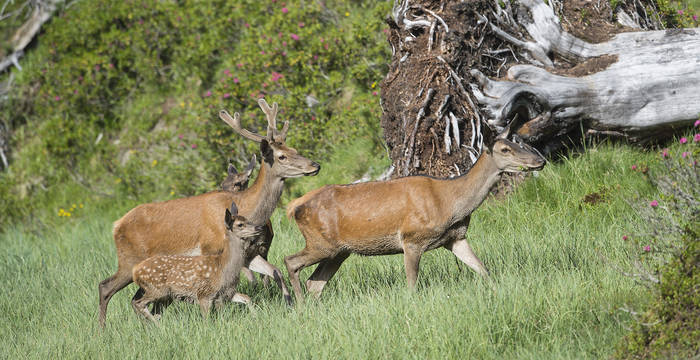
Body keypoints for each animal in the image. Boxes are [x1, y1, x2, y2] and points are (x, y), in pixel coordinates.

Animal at [97, 99, 318, 326]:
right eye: (282, 156)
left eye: (294, 149)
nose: (315, 165)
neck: (247, 207)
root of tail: (116, 225)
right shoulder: (211, 251)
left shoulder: (249, 253)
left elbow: (276, 271)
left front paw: (290, 304)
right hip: (129, 260)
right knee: (105, 287)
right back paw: (102, 329)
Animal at [282, 129, 544, 300]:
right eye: (505, 149)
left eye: (517, 143)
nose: (539, 160)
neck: (450, 204)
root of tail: (294, 206)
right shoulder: (412, 239)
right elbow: (412, 285)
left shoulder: (456, 238)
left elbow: (483, 270)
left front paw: (498, 293)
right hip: (320, 243)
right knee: (291, 262)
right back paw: (299, 306)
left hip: (339, 251)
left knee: (315, 283)